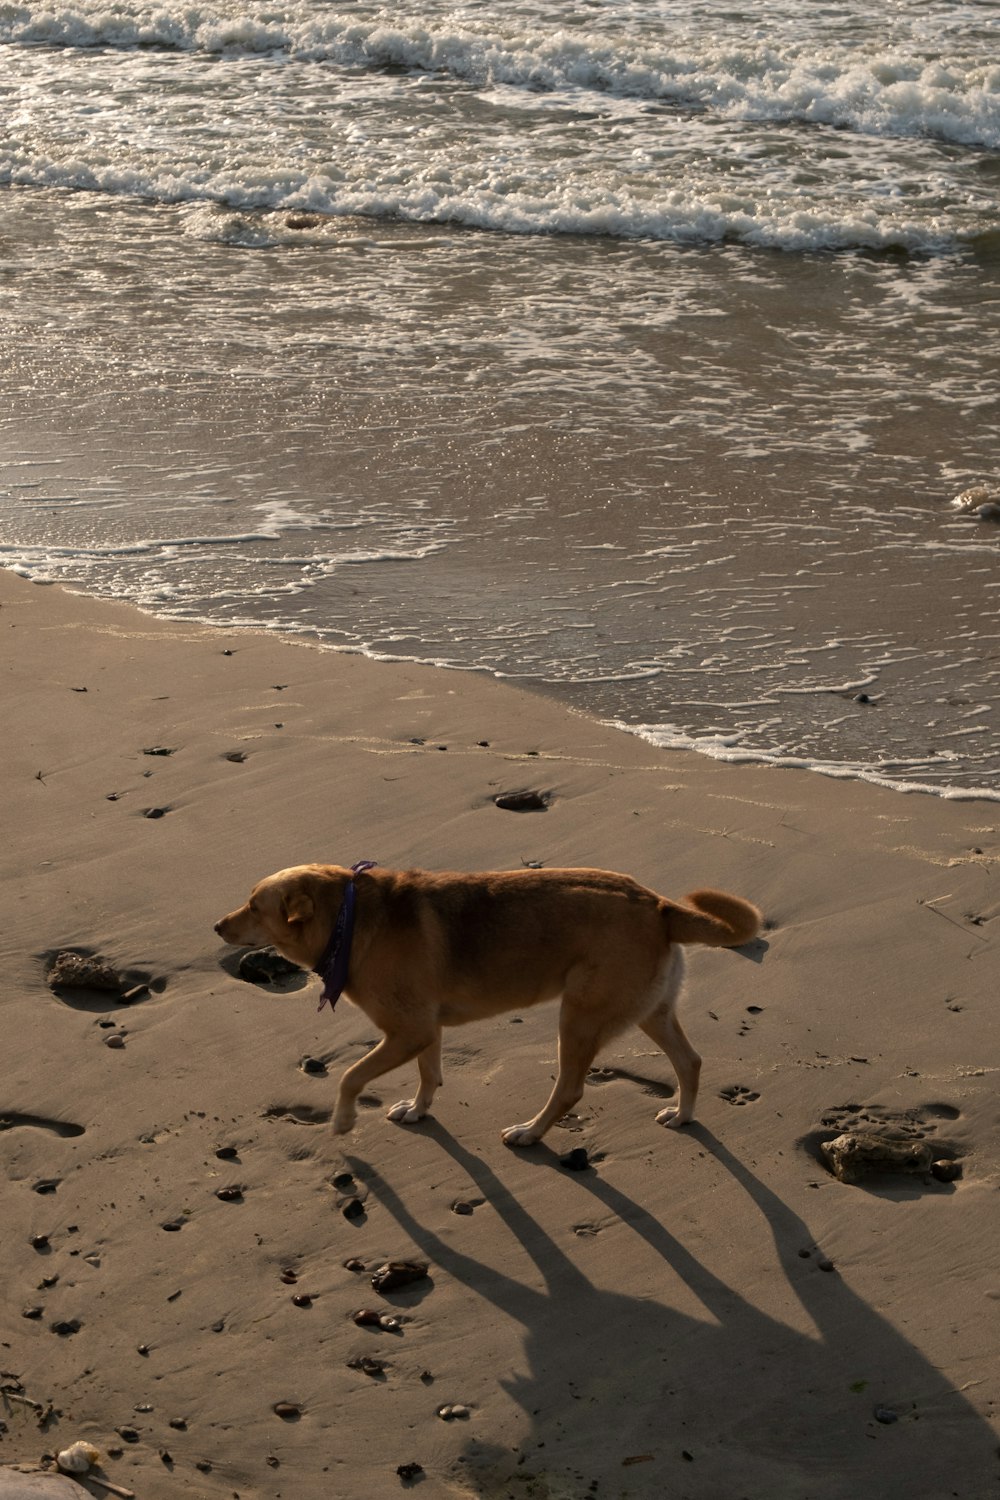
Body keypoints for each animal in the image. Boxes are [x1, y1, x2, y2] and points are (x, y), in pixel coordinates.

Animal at [215, 864, 761, 1140]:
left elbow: (350, 1076)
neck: (349, 917)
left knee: (570, 1089)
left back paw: (531, 1132)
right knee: (690, 1062)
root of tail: (658, 904)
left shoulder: (408, 1031)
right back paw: (683, 1115)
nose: (217, 925)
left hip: (580, 1016)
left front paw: (345, 1119)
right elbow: (429, 1074)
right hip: (650, 1011)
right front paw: (417, 1110)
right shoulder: (425, 1029)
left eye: (254, 906)